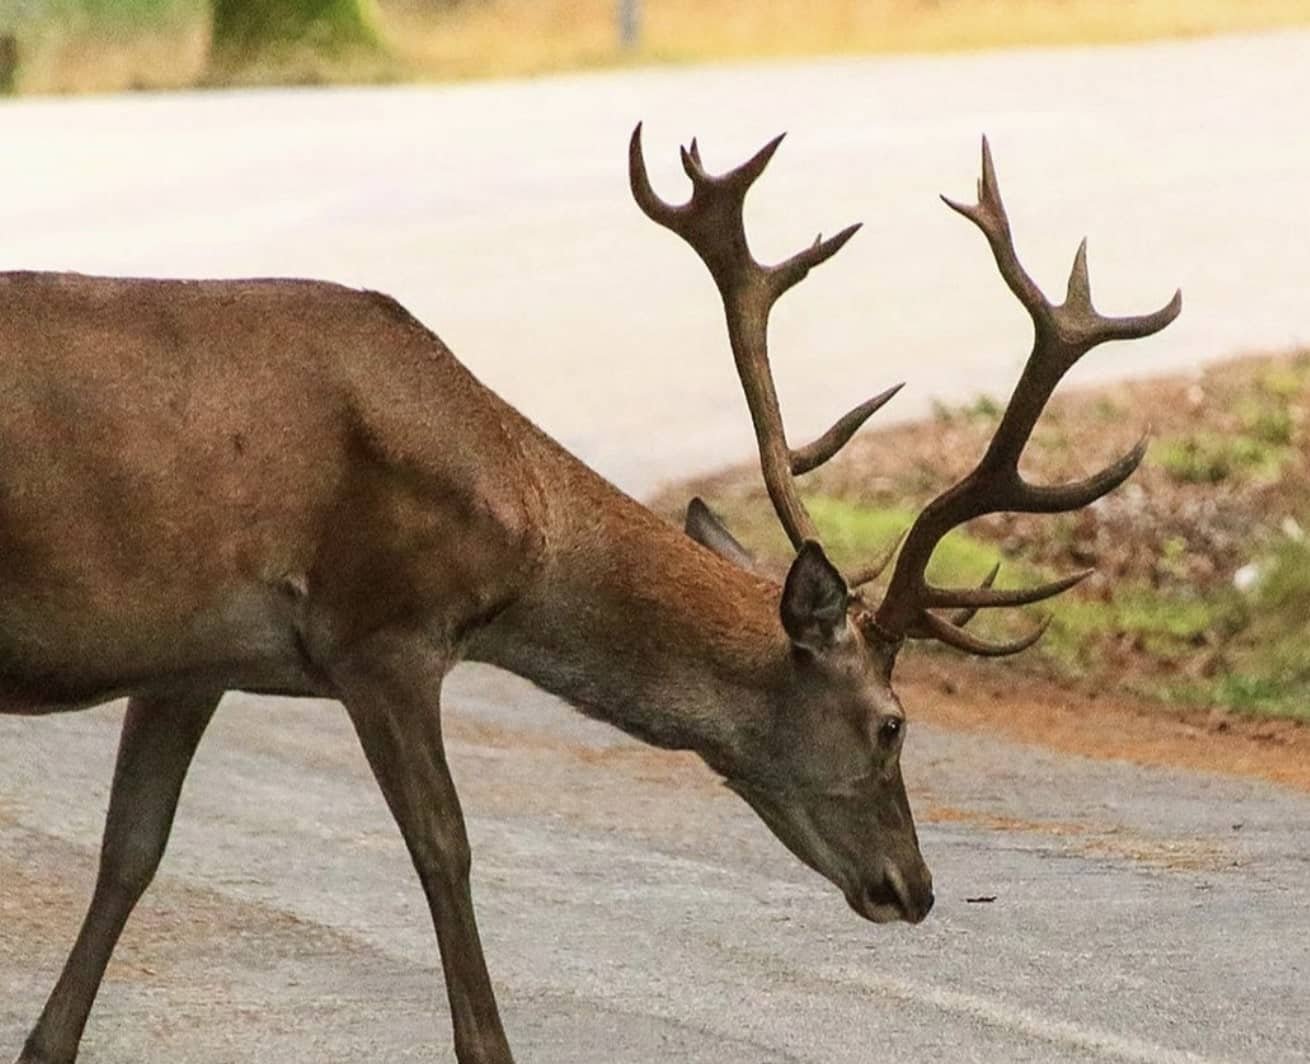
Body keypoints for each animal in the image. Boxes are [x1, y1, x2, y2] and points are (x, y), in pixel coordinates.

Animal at [2, 126, 1179, 1064]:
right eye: (892, 723)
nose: (915, 887)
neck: (513, 515)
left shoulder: (192, 659)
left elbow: (131, 852)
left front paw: (46, 1041)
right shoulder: (380, 630)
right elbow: (446, 847)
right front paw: (489, 1043)